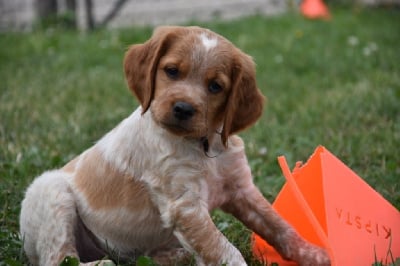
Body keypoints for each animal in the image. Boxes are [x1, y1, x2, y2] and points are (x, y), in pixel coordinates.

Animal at [19, 25, 332, 266]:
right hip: (51, 193)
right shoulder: (185, 206)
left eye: (215, 86)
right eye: (171, 71)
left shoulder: (241, 190)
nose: (182, 108)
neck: (204, 147)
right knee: (59, 259)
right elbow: (226, 251)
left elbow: (280, 227)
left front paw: (316, 255)